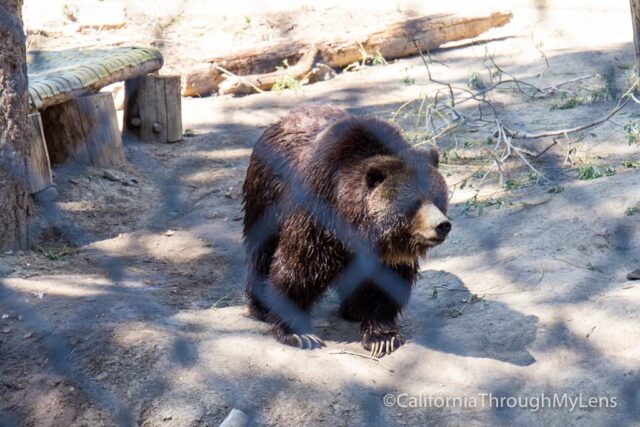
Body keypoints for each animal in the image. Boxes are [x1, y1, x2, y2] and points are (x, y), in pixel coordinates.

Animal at [244, 104, 450, 358]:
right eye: (415, 202)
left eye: (437, 197)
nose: (442, 225)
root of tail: (280, 120)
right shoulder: (317, 212)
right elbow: (297, 268)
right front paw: (298, 333)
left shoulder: (386, 253)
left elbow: (384, 285)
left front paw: (382, 336)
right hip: (266, 197)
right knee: (262, 251)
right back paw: (260, 307)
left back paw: (353, 309)